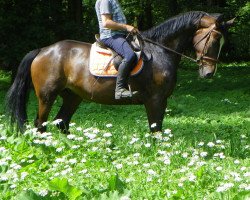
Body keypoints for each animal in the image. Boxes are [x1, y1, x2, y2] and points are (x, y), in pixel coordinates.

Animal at [5, 10, 234, 133]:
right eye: (214, 38)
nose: (209, 73)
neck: (161, 50)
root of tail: (43, 50)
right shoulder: (156, 99)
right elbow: (156, 129)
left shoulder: (160, 100)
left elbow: (156, 128)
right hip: (47, 95)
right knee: (41, 124)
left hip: (72, 96)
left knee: (61, 122)